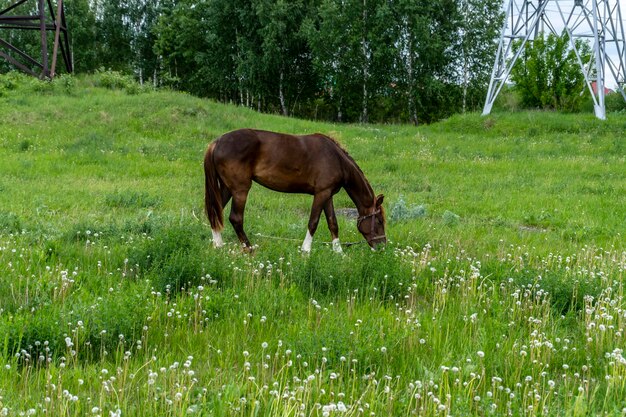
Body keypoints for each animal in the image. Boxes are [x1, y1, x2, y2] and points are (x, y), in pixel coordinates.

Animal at [204, 127, 386, 250]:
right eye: (378, 221)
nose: (383, 246)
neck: (337, 159)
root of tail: (216, 142)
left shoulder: (328, 195)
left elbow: (333, 223)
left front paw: (339, 253)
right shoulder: (321, 194)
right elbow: (313, 222)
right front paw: (305, 251)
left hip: (227, 188)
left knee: (215, 213)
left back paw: (218, 245)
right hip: (240, 190)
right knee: (235, 218)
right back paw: (250, 250)